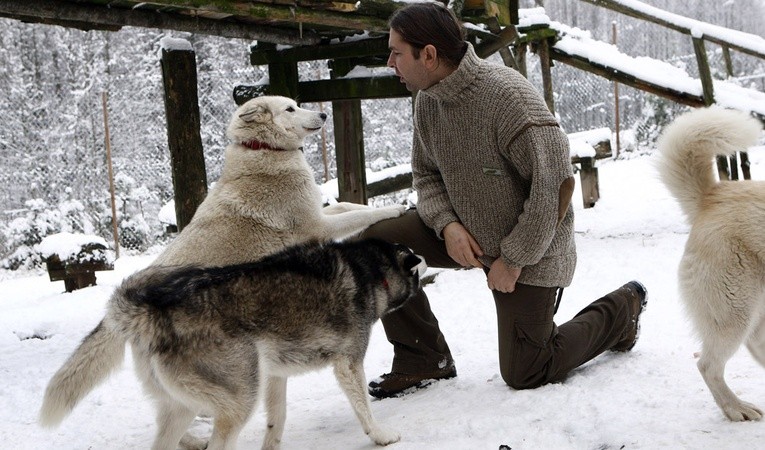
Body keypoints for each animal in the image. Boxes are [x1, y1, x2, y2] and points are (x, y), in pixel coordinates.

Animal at [153, 94, 408, 268]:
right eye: (290, 109)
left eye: (296, 105)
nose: (324, 115)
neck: (267, 148)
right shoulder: (318, 226)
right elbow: (360, 216)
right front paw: (392, 210)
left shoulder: (317, 212)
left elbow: (349, 205)